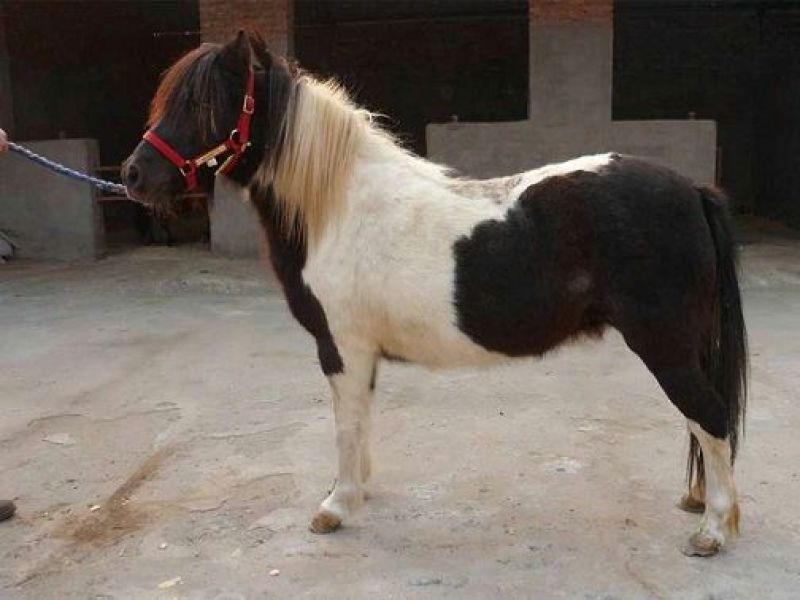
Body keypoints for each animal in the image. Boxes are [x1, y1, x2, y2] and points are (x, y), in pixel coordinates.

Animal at [122, 31, 747, 557]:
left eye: (200, 105)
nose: (133, 175)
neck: (337, 208)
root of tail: (693, 190)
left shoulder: (341, 347)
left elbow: (345, 425)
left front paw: (336, 506)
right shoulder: (360, 354)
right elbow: (359, 420)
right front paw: (356, 491)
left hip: (664, 345)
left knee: (710, 416)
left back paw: (712, 530)